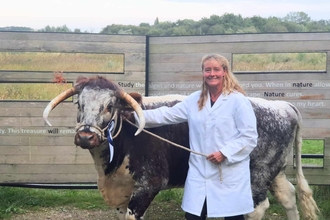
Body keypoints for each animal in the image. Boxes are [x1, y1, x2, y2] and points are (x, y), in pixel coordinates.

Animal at [42, 76, 318, 220]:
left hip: (256, 175)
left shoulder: (148, 185)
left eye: (110, 106)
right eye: (79, 104)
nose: (86, 136)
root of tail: (283, 106)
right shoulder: (122, 191)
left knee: (257, 208)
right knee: (288, 196)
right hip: (275, 171)